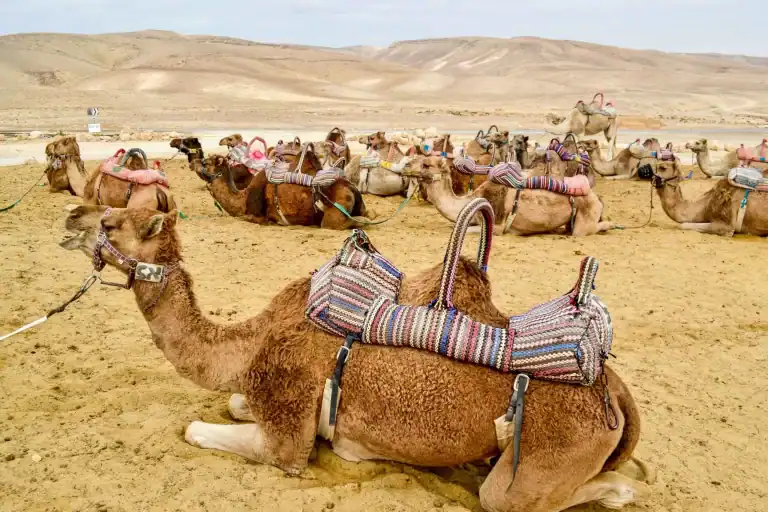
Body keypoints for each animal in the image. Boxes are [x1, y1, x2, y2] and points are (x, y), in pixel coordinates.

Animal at [59, 203, 653, 512]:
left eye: (111, 223)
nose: (71, 216)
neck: (249, 343)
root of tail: (612, 390)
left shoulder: (286, 426)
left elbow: (202, 432)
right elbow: (233, 403)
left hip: (539, 462)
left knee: (540, 495)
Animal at [419, 156, 613, 236]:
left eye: (426, 164)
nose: (411, 169)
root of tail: (597, 197)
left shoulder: (497, 226)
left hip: (587, 213)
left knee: (583, 230)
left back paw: (610, 225)